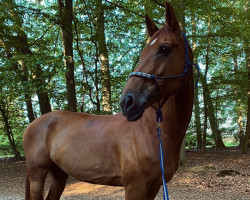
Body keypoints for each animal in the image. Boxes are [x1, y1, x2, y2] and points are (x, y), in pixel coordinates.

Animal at [23, 1, 194, 200]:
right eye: (143, 53)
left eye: (164, 48)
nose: (127, 101)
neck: (152, 130)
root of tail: (33, 124)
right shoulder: (134, 187)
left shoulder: (154, 187)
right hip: (37, 174)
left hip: (59, 173)